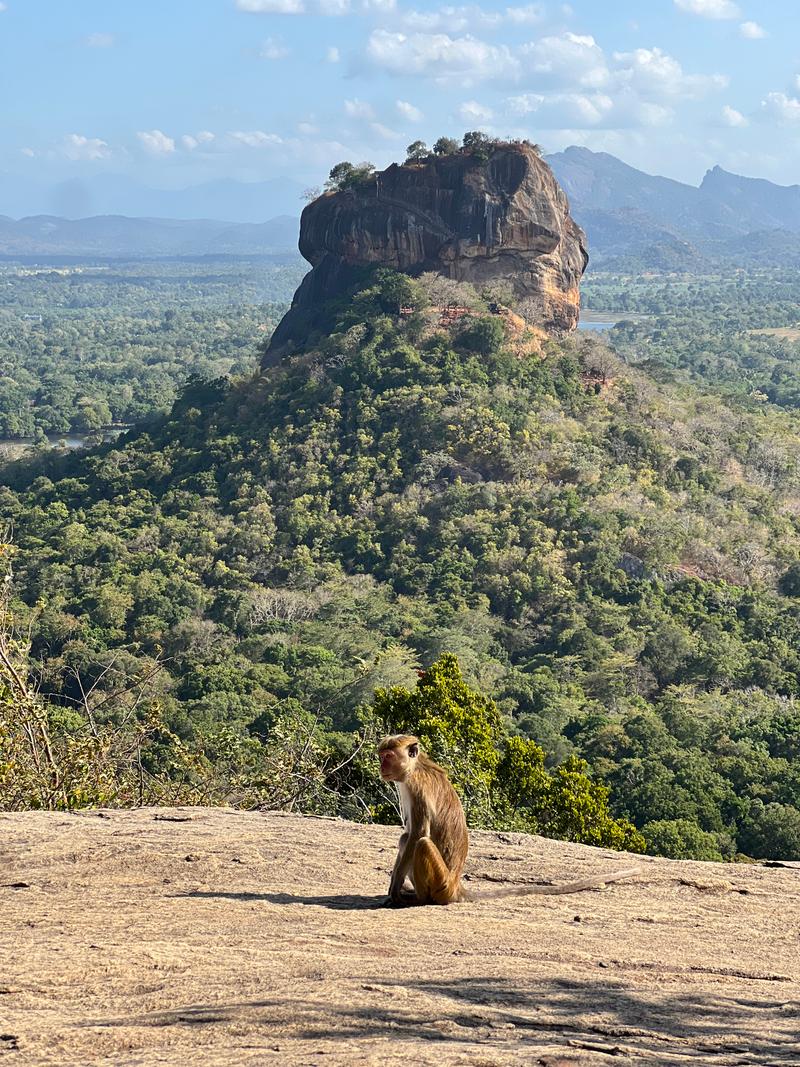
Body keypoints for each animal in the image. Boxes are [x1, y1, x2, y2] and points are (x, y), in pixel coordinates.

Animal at [377, 734, 641, 906]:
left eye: (388, 756)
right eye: (381, 756)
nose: (381, 767)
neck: (414, 768)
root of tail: (456, 887)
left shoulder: (417, 788)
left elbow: (418, 834)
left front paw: (395, 889)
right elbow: (408, 834)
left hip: (441, 882)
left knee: (421, 844)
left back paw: (419, 898)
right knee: (405, 840)